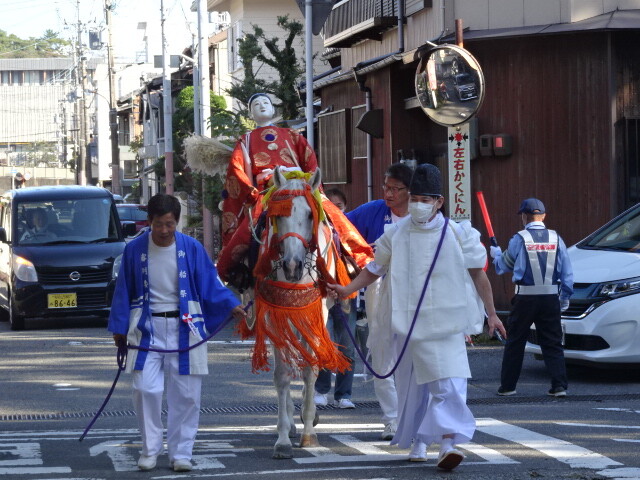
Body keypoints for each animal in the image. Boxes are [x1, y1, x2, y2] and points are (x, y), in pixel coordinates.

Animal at [240, 167, 350, 460]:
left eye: (310, 215)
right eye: (278, 216)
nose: (292, 265)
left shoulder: (316, 313)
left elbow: (310, 369)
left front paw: (309, 431)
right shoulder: (275, 314)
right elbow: (282, 374)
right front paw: (282, 440)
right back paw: (289, 421)